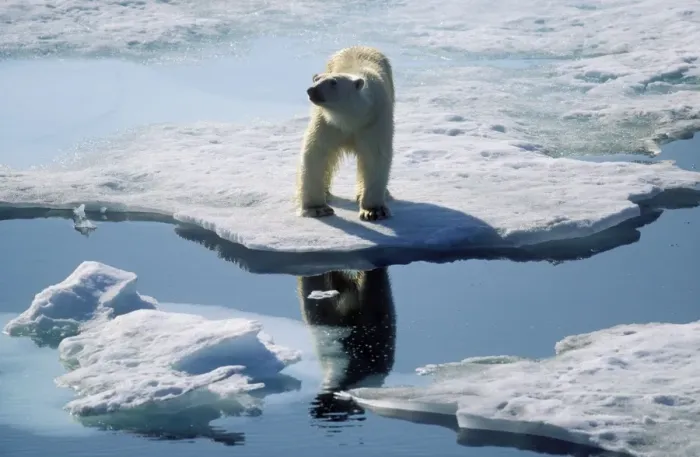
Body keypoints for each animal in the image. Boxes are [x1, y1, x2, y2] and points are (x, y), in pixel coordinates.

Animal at [296, 46, 395, 221]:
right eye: (316, 79)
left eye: (333, 82)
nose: (311, 90)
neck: (351, 118)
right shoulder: (327, 122)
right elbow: (316, 153)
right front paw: (317, 209)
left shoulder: (374, 120)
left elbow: (375, 156)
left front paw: (373, 211)